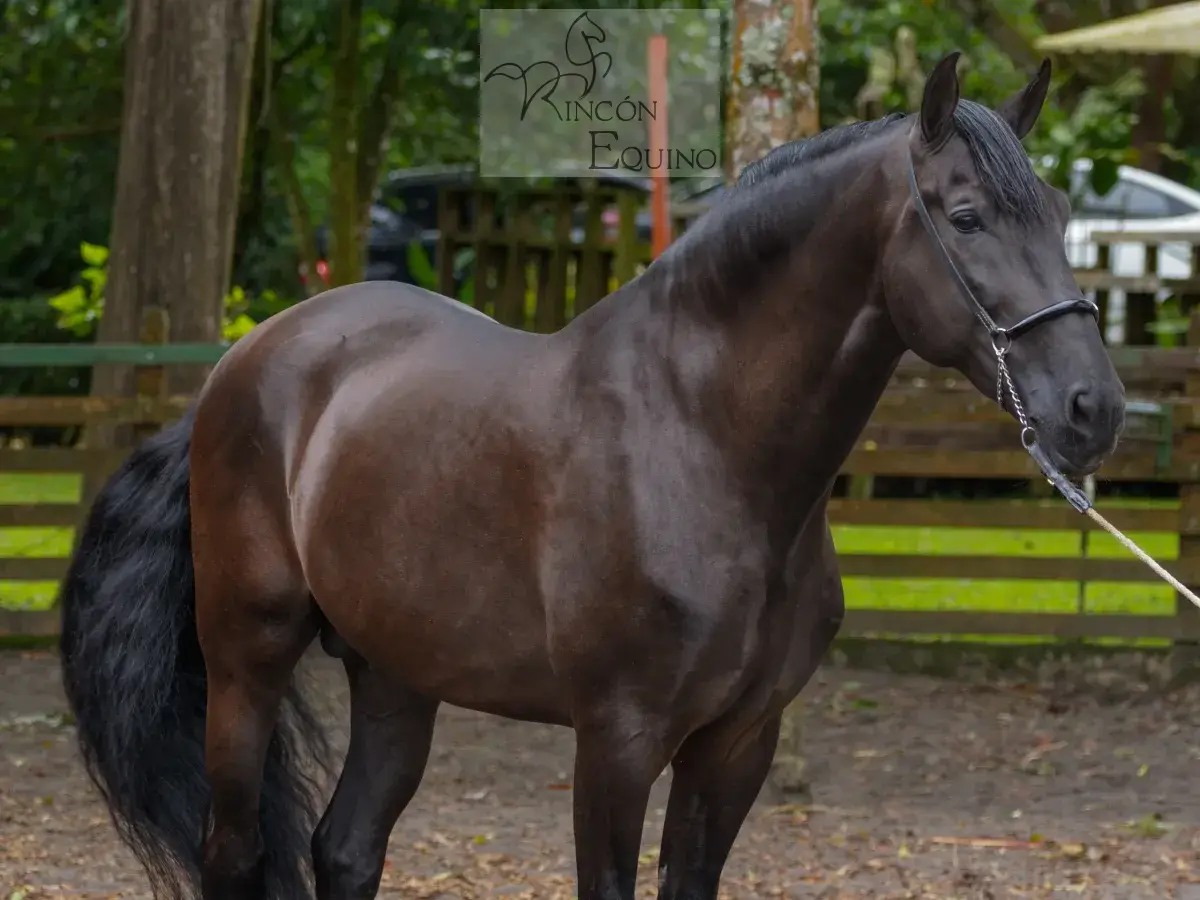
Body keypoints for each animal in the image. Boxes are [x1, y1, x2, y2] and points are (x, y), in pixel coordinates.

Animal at [58, 52, 1124, 900]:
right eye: (967, 217)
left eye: (1064, 214)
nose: (1094, 408)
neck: (703, 446)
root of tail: (242, 362)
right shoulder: (616, 742)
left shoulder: (737, 744)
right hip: (246, 662)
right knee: (233, 853)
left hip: (397, 676)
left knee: (348, 849)